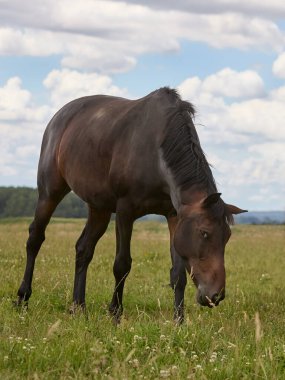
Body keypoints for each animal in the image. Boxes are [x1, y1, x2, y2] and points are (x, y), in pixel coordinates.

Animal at [15, 87, 245, 322]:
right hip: (50, 192)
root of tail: (58, 117)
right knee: (35, 238)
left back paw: (78, 307)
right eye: (204, 233)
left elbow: (178, 273)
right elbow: (122, 264)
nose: (216, 295)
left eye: (227, 236)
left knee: (83, 249)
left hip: (99, 207)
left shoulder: (174, 216)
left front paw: (179, 321)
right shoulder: (125, 211)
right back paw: (23, 298)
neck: (156, 152)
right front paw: (115, 314)